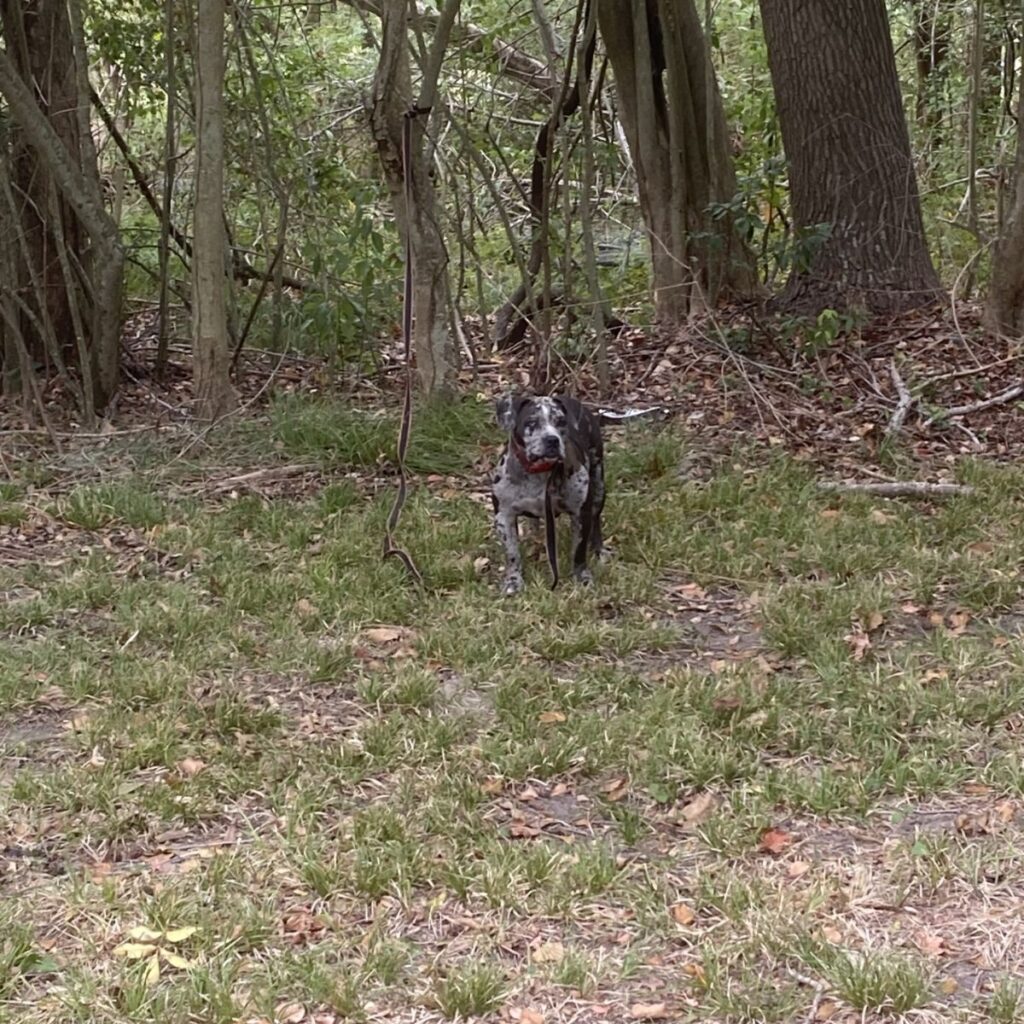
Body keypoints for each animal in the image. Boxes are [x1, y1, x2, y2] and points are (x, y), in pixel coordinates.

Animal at [489, 393, 602, 598]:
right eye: (531, 422)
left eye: (561, 421)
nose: (552, 440)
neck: (539, 472)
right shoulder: (503, 516)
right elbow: (512, 554)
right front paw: (513, 581)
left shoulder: (581, 513)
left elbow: (579, 551)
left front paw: (581, 577)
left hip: (599, 486)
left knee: (597, 520)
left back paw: (600, 550)